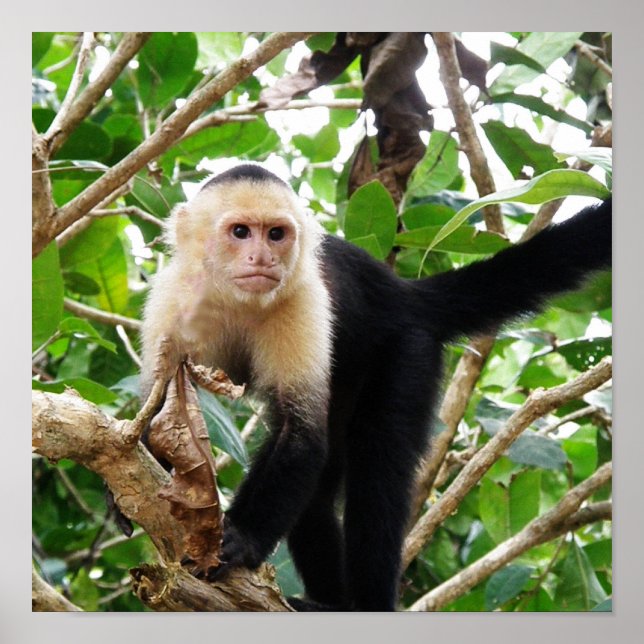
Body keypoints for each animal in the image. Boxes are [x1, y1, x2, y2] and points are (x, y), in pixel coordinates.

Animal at [140, 163, 612, 611]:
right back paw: (330, 602)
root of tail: (403, 292)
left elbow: (302, 436)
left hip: (406, 348)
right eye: (240, 232)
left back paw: (367, 604)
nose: (262, 258)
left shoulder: (305, 302)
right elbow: (158, 409)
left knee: (376, 473)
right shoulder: (170, 299)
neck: (235, 300)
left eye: (276, 234)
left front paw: (242, 539)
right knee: (320, 487)